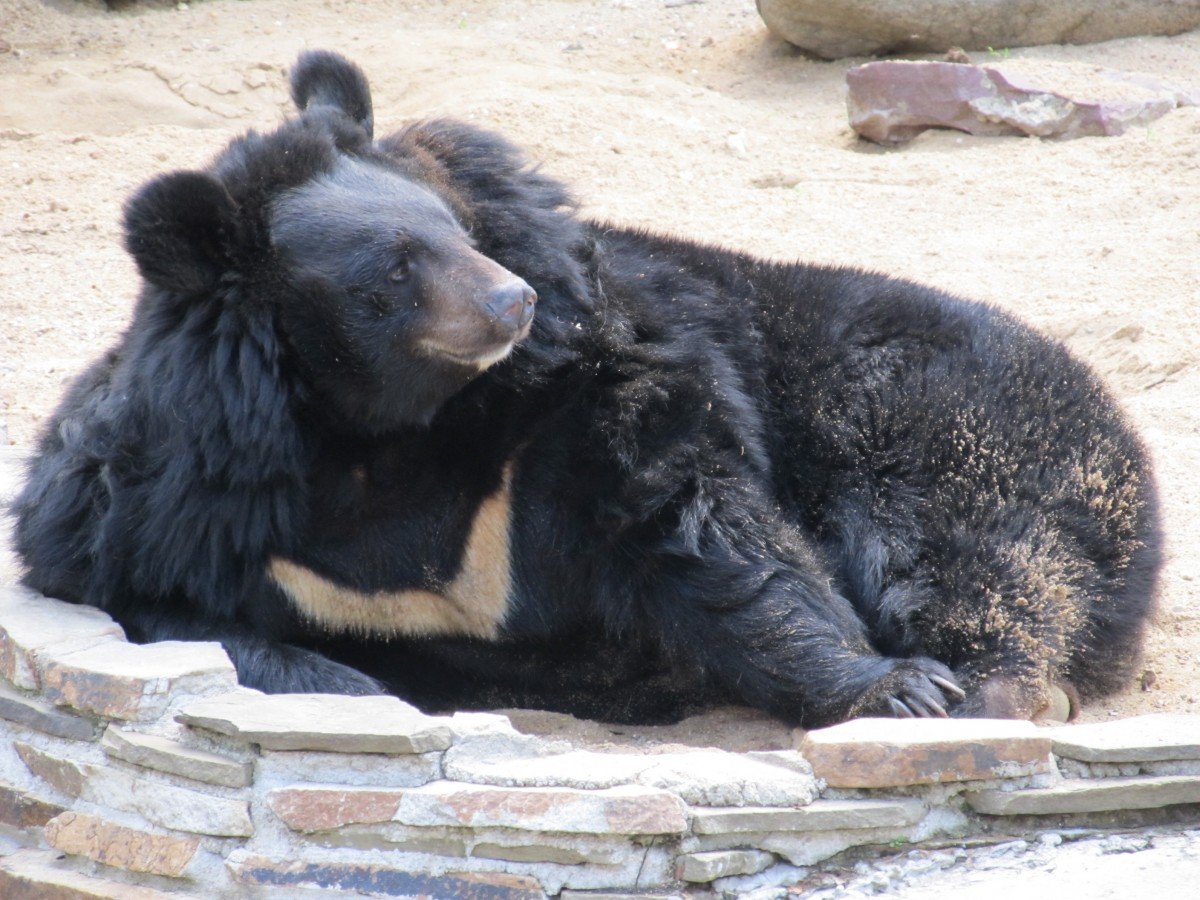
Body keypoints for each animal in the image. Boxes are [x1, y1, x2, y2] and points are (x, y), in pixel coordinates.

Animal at [14, 49, 1156, 729]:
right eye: (395, 269)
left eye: (460, 230)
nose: (513, 302)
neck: (379, 437)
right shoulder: (167, 502)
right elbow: (160, 611)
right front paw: (345, 683)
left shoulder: (587, 402)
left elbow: (708, 529)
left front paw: (898, 686)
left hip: (945, 421)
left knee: (969, 552)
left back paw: (989, 686)